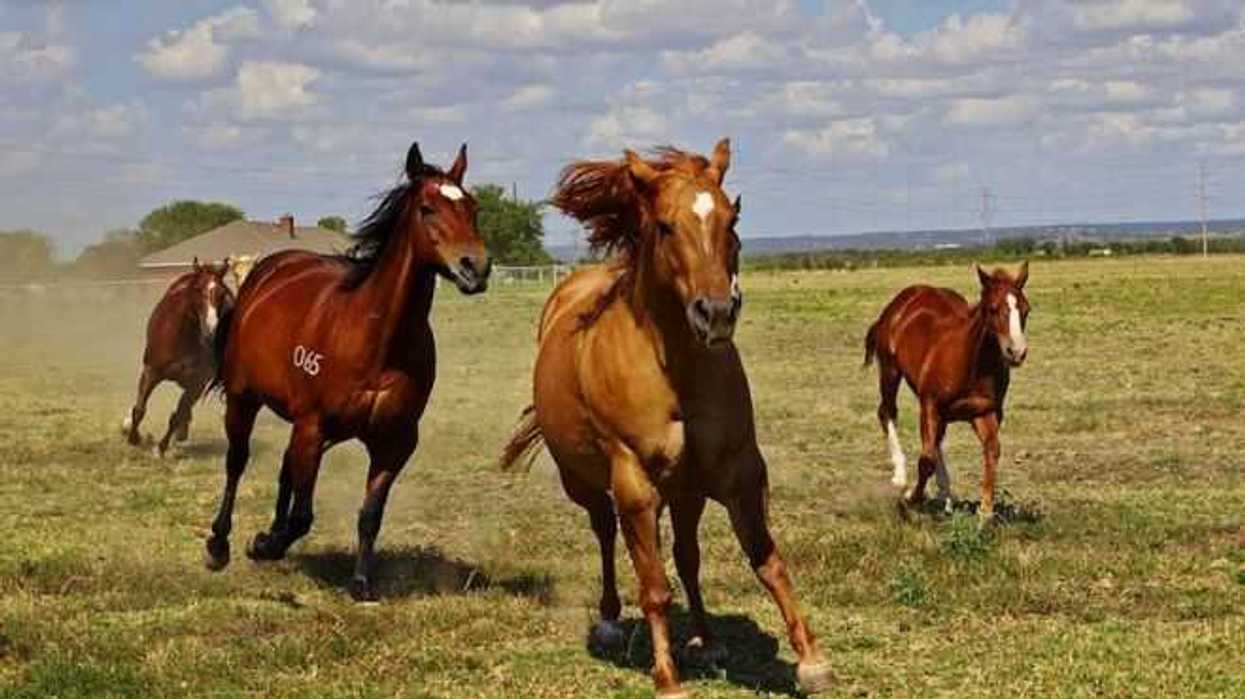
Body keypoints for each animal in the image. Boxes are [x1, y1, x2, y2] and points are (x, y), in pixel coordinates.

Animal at [124, 258, 233, 456]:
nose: (212, 330)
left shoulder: (197, 382)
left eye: (222, 293)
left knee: (184, 410)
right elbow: (140, 409)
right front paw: (133, 438)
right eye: (197, 289)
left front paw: (160, 448)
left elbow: (178, 414)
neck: (182, 338)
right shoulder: (151, 372)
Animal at [203, 141, 491, 602]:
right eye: (427, 208)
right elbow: (303, 515)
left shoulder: (393, 442)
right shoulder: (313, 425)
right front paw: (264, 545)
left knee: (286, 468)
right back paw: (220, 544)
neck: (376, 339)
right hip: (245, 400)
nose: (475, 268)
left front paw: (360, 582)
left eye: (473, 207)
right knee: (237, 462)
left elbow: (369, 513)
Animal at [501, 140, 833, 697]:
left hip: (684, 492)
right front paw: (667, 679)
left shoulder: (739, 472)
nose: (716, 313)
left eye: (731, 218)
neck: (675, 372)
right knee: (606, 534)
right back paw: (611, 622)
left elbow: (767, 561)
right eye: (664, 225)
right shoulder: (634, 482)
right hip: (587, 483)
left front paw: (811, 660)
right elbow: (654, 587)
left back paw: (706, 639)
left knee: (686, 557)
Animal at [863, 262, 1031, 521]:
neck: (972, 363)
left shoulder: (985, 412)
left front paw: (985, 511)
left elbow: (992, 450)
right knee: (887, 412)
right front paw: (910, 497)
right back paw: (900, 476)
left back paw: (946, 495)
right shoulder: (930, 404)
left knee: (937, 439)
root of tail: (899, 302)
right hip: (890, 372)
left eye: (1026, 310)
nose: (1017, 352)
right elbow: (926, 460)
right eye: (993, 309)